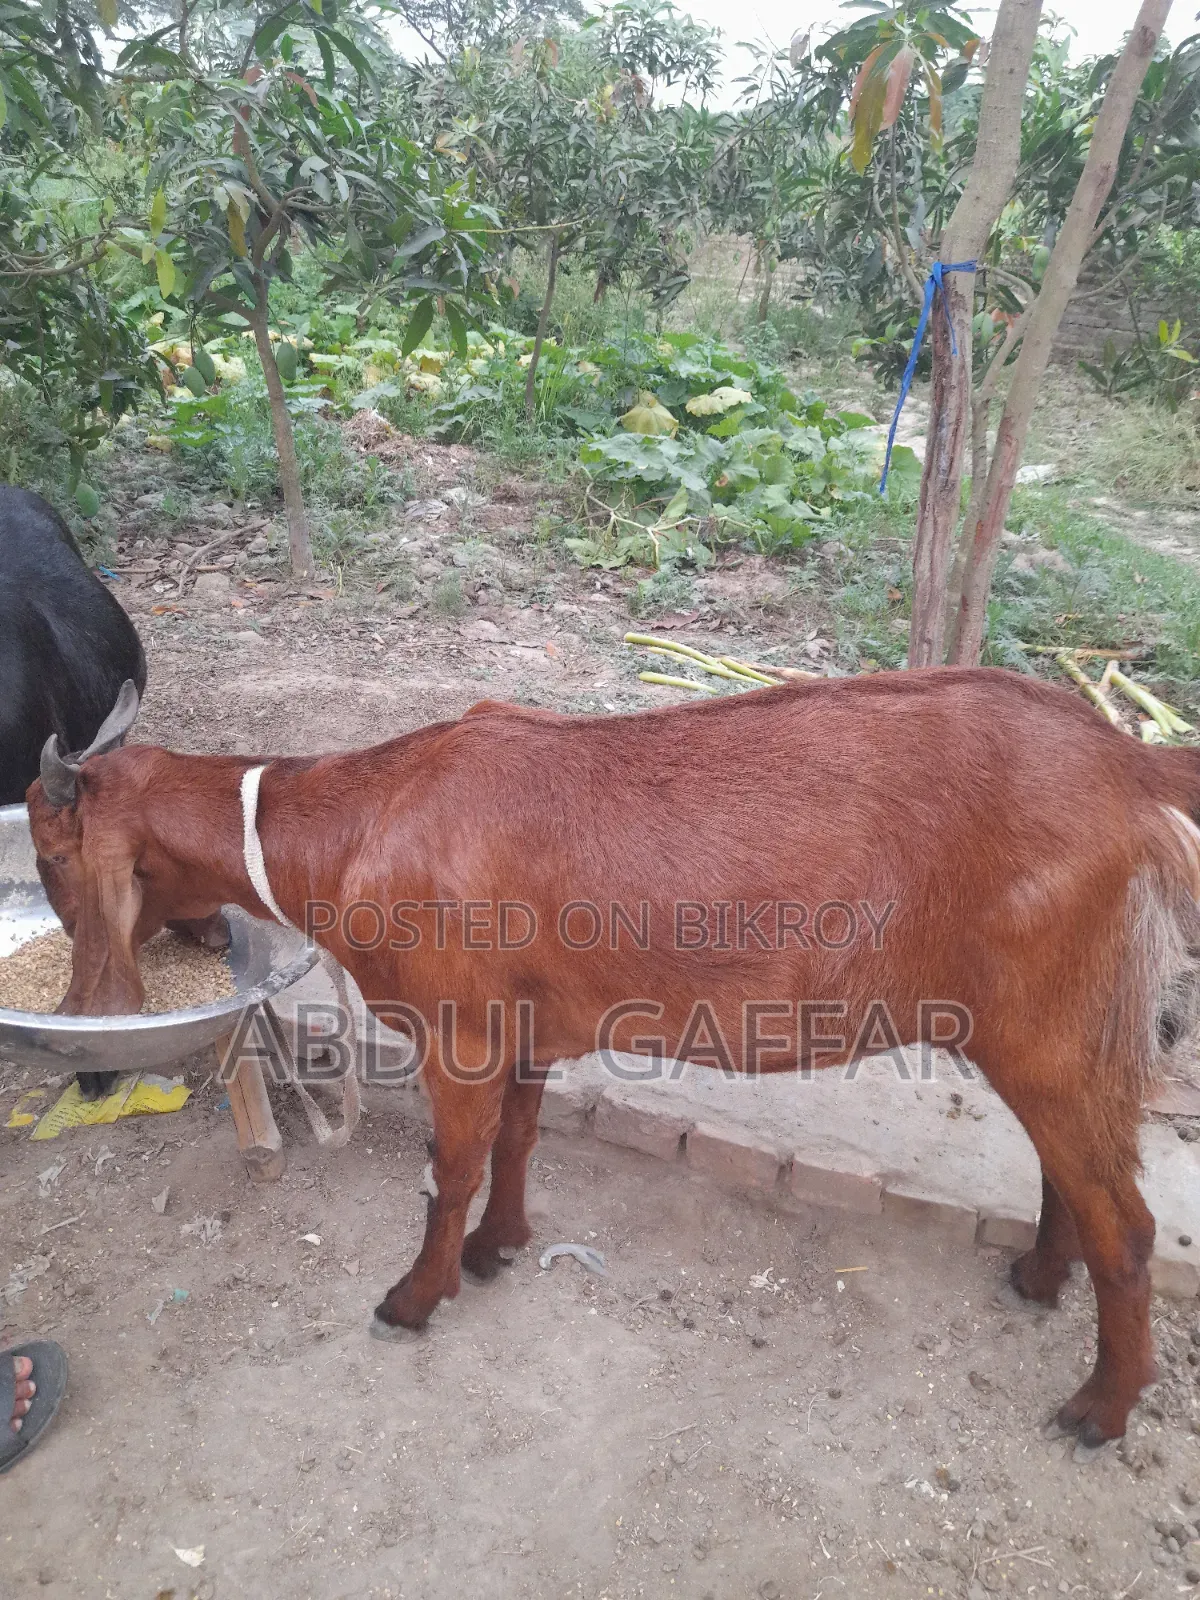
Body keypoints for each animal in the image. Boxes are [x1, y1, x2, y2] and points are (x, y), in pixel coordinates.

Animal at [25, 667, 1200, 1448]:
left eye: (50, 853)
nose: (87, 1052)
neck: (359, 826)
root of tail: (1130, 761)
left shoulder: (458, 1029)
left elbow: (451, 1168)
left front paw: (417, 1295)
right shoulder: (525, 1028)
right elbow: (518, 1142)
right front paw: (500, 1248)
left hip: (1050, 1016)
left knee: (1130, 1223)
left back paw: (1098, 1408)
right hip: (1049, 1023)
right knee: (1071, 1172)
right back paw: (1037, 1277)